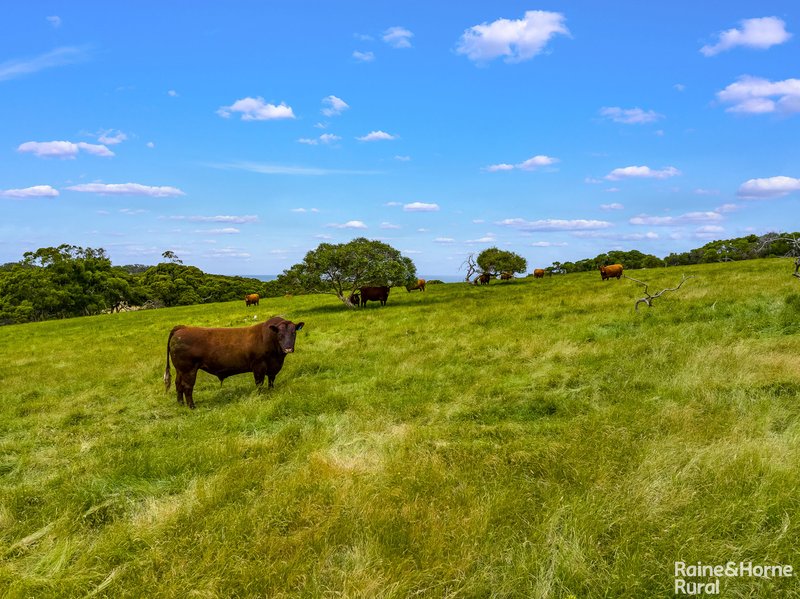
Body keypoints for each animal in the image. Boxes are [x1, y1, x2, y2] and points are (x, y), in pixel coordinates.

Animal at [162, 316, 304, 410]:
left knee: (178, 384)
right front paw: (260, 396)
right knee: (187, 386)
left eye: (294, 332)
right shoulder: (259, 366)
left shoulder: (273, 367)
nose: (288, 348)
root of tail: (182, 328)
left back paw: (180, 404)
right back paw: (192, 406)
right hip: (188, 369)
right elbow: (259, 383)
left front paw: (271, 392)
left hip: (180, 370)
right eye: (279, 334)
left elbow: (271, 381)